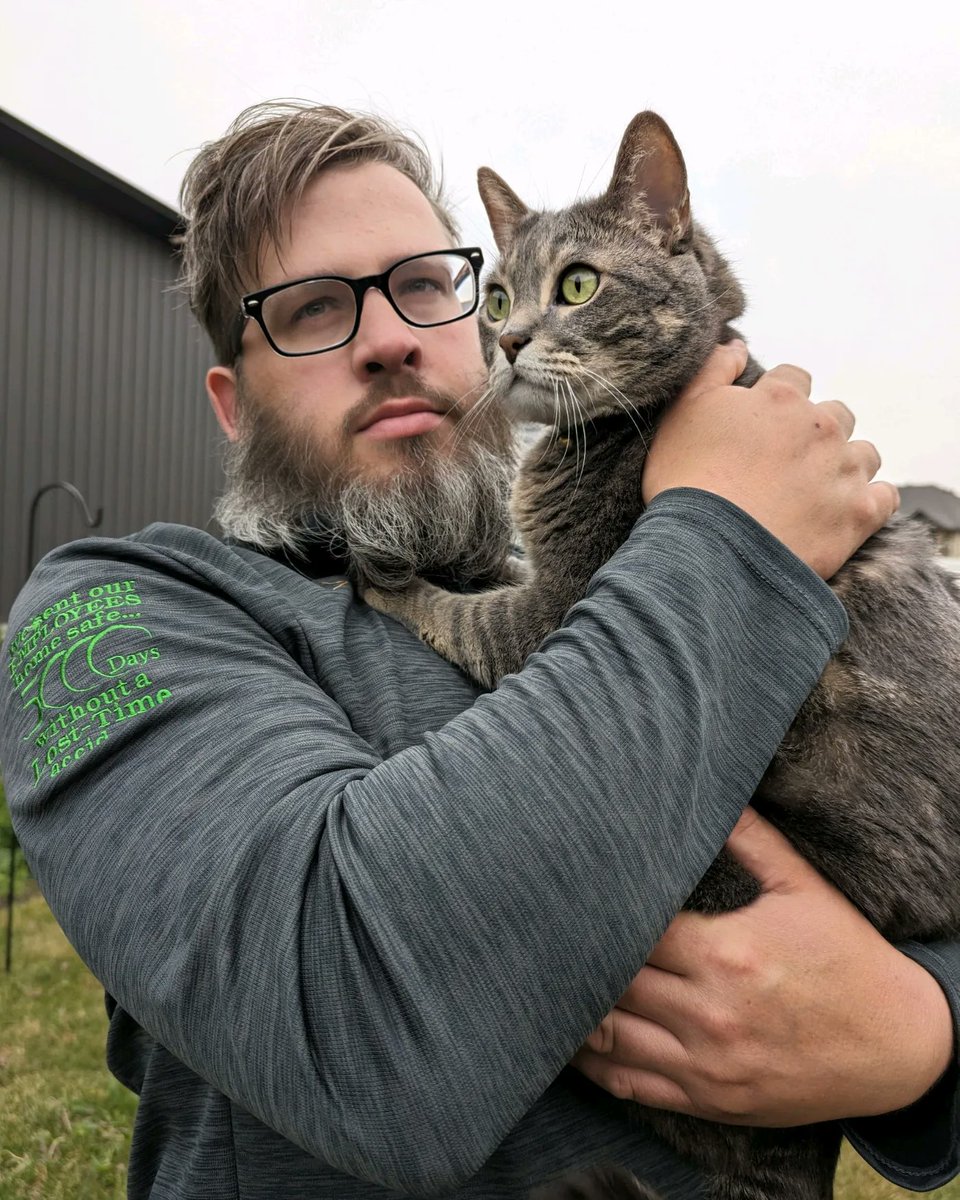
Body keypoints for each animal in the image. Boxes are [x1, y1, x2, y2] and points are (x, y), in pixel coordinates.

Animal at [362, 114, 960, 1200]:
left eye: (578, 285)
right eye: (497, 296)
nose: (507, 342)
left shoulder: (550, 612)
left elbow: (456, 610)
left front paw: (383, 572)